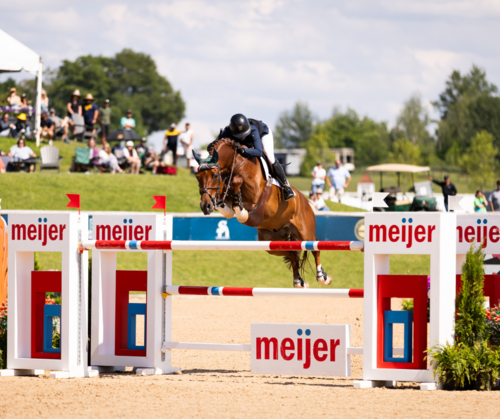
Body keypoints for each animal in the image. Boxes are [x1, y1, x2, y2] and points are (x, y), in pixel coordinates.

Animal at [194, 138, 332, 288]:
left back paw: (323, 277)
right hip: (271, 242)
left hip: (304, 232)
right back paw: (298, 281)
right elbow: (225, 193)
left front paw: (240, 211)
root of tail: (305, 200)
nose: (205, 206)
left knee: (315, 246)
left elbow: (237, 181)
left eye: (214, 175)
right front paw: (230, 207)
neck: (237, 162)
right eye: (197, 177)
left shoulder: (254, 196)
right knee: (292, 253)